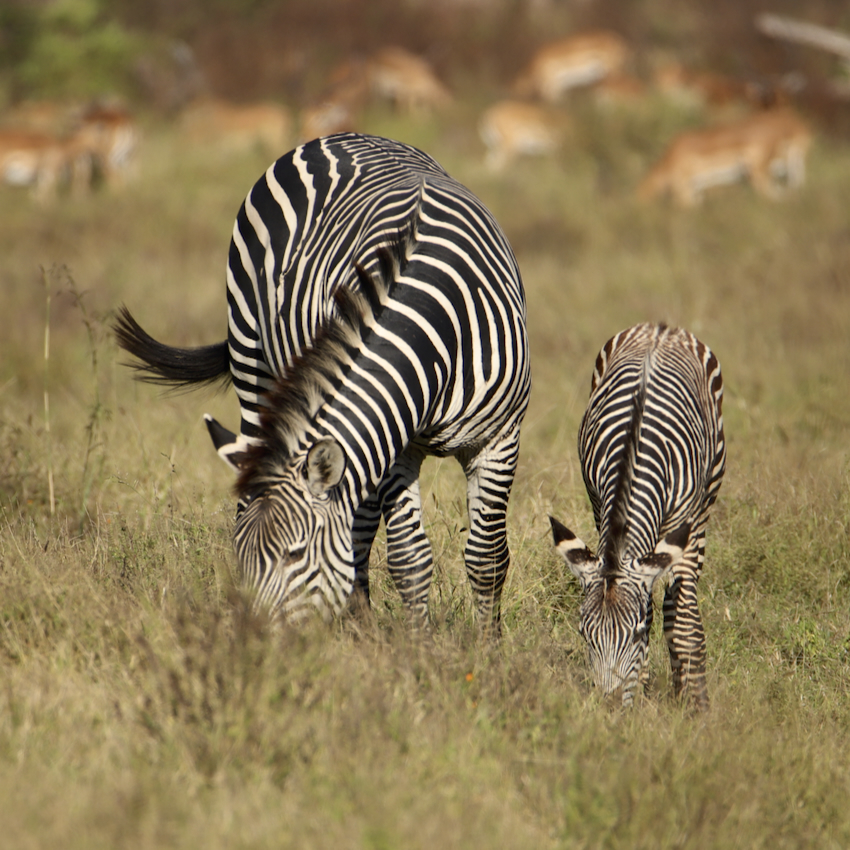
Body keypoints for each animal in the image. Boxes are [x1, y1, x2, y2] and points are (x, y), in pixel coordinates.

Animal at [109, 132, 528, 632]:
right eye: (242, 558)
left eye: (296, 554)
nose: (251, 636)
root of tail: (338, 137)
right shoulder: (396, 445)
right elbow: (409, 557)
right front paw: (418, 645)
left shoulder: (500, 437)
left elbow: (487, 557)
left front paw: (485, 645)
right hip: (252, 359)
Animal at [548, 322, 724, 704]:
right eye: (584, 634)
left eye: (637, 633)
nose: (610, 705)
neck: (634, 452)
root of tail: (661, 328)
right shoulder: (600, 506)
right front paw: (640, 689)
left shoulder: (683, 527)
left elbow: (682, 622)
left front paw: (695, 705)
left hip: (706, 501)